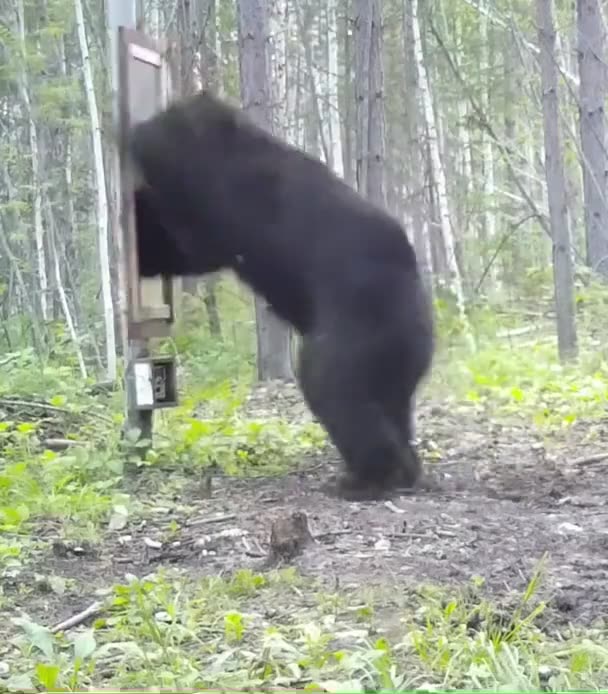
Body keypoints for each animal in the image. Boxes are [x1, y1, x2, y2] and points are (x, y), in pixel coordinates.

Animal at [124, 91, 435, 500]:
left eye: (161, 123)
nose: (132, 130)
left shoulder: (232, 203)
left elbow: (186, 240)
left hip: (357, 328)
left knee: (335, 391)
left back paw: (366, 477)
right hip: (396, 360)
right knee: (391, 404)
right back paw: (405, 469)